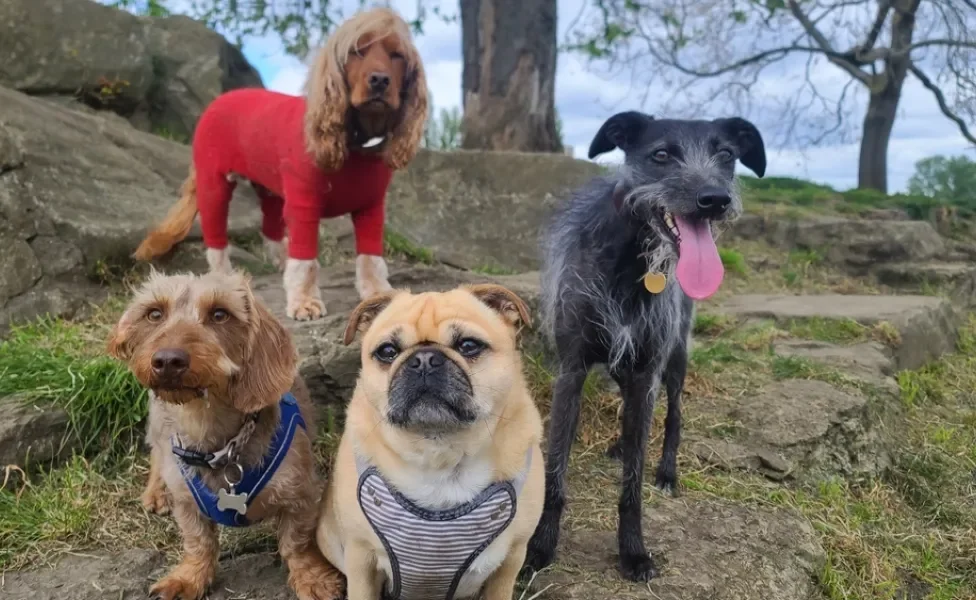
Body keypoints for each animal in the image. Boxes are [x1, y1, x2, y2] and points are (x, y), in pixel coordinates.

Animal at [322, 284, 544, 600]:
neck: (439, 455)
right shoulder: (360, 558)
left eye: (469, 346)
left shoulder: (509, 561)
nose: (424, 359)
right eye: (387, 352)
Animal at [524, 111, 768, 580]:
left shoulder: (646, 371)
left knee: (674, 416)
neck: (630, 259)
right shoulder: (572, 371)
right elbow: (556, 469)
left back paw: (667, 471)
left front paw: (633, 550)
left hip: (673, 362)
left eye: (727, 154)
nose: (715, 199)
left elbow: (632, 485)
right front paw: (540, 547)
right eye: (660, 155)